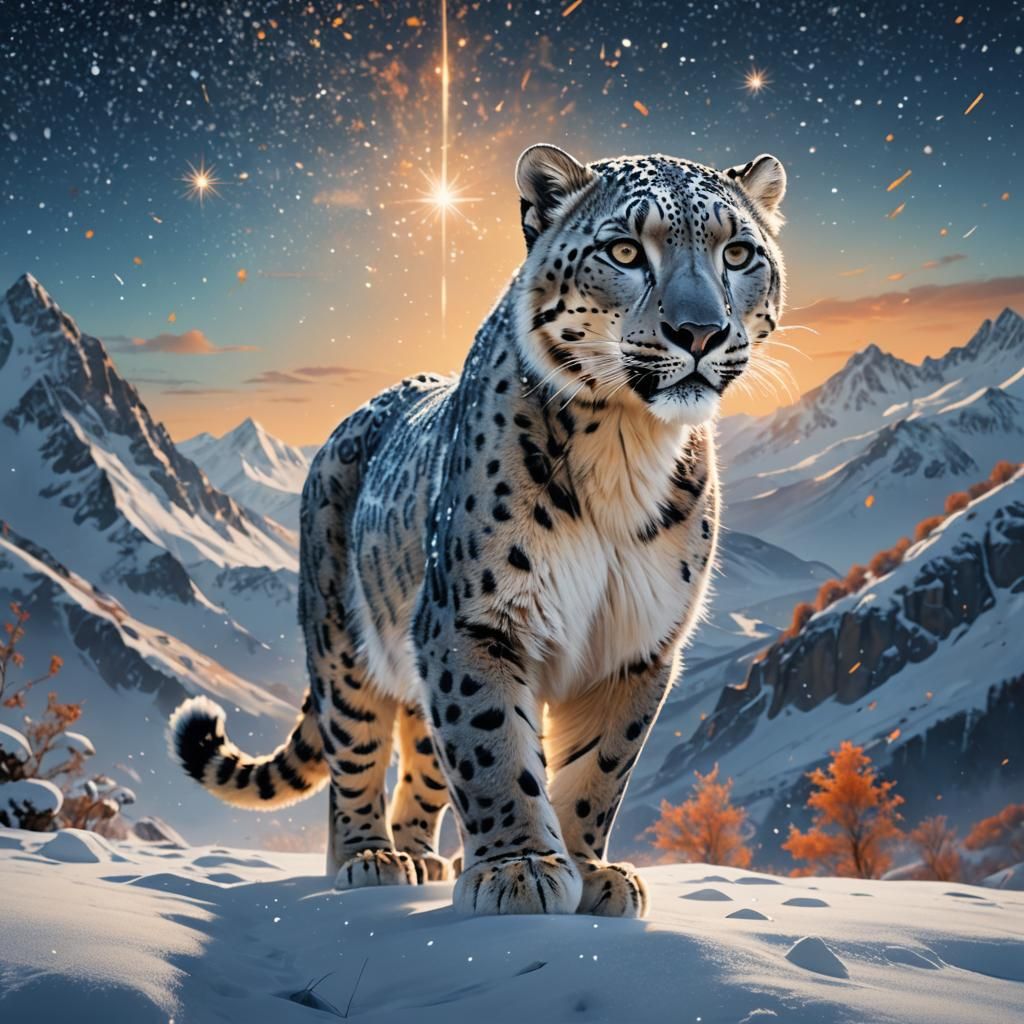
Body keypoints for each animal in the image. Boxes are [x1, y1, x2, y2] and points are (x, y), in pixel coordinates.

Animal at [169, 143, 787, 918]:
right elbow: (494, 747)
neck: (627, 446)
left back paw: (426, 856)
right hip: (344, 648)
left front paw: (590, 872)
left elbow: (599, 767)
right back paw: (371, 858)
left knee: (424, 758)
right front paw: (519, 869)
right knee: (356, 754)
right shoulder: (476, 620)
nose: (700, 332)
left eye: (738, 252)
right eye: (623, 249)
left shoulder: (637, 642)